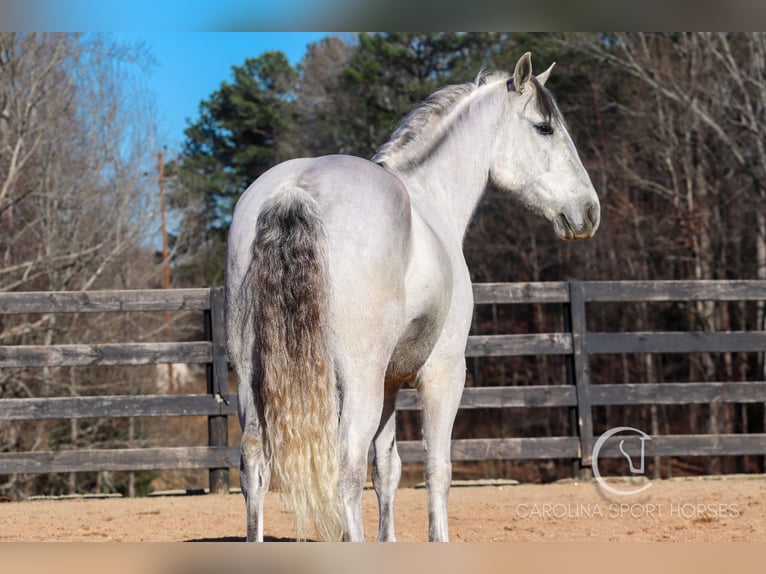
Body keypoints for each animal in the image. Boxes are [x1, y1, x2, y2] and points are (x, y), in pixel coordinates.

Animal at [225, 51, 604, 544]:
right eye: (544, 127)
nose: (589, 212)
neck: (429, 199)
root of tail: (296, 189)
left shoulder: (391, 384)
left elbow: (387, 469)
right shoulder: (443, 374)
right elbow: (436, 469)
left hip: (252, 383)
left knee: (255, 467)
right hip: (358, 385)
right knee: (345, 472)